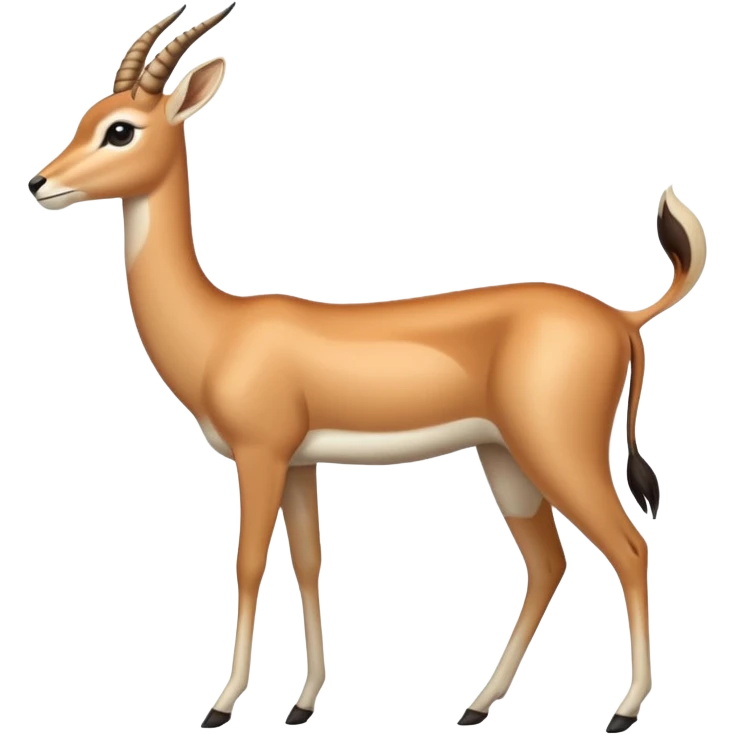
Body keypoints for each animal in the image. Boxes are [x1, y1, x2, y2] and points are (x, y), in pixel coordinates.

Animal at [26, 4, 708, 731]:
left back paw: (622, 712)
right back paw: (475, 705)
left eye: (121, 128)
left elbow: (246, 563)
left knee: (630, 549)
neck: (220, 328)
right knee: (547, 563)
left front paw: (220, 705)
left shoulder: (259, 455)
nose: (40, 183)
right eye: (89, 115)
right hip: (504, 457)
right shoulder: (299, 463)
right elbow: (308, 561)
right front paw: (301, 704)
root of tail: (622, 319)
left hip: (559, 451)